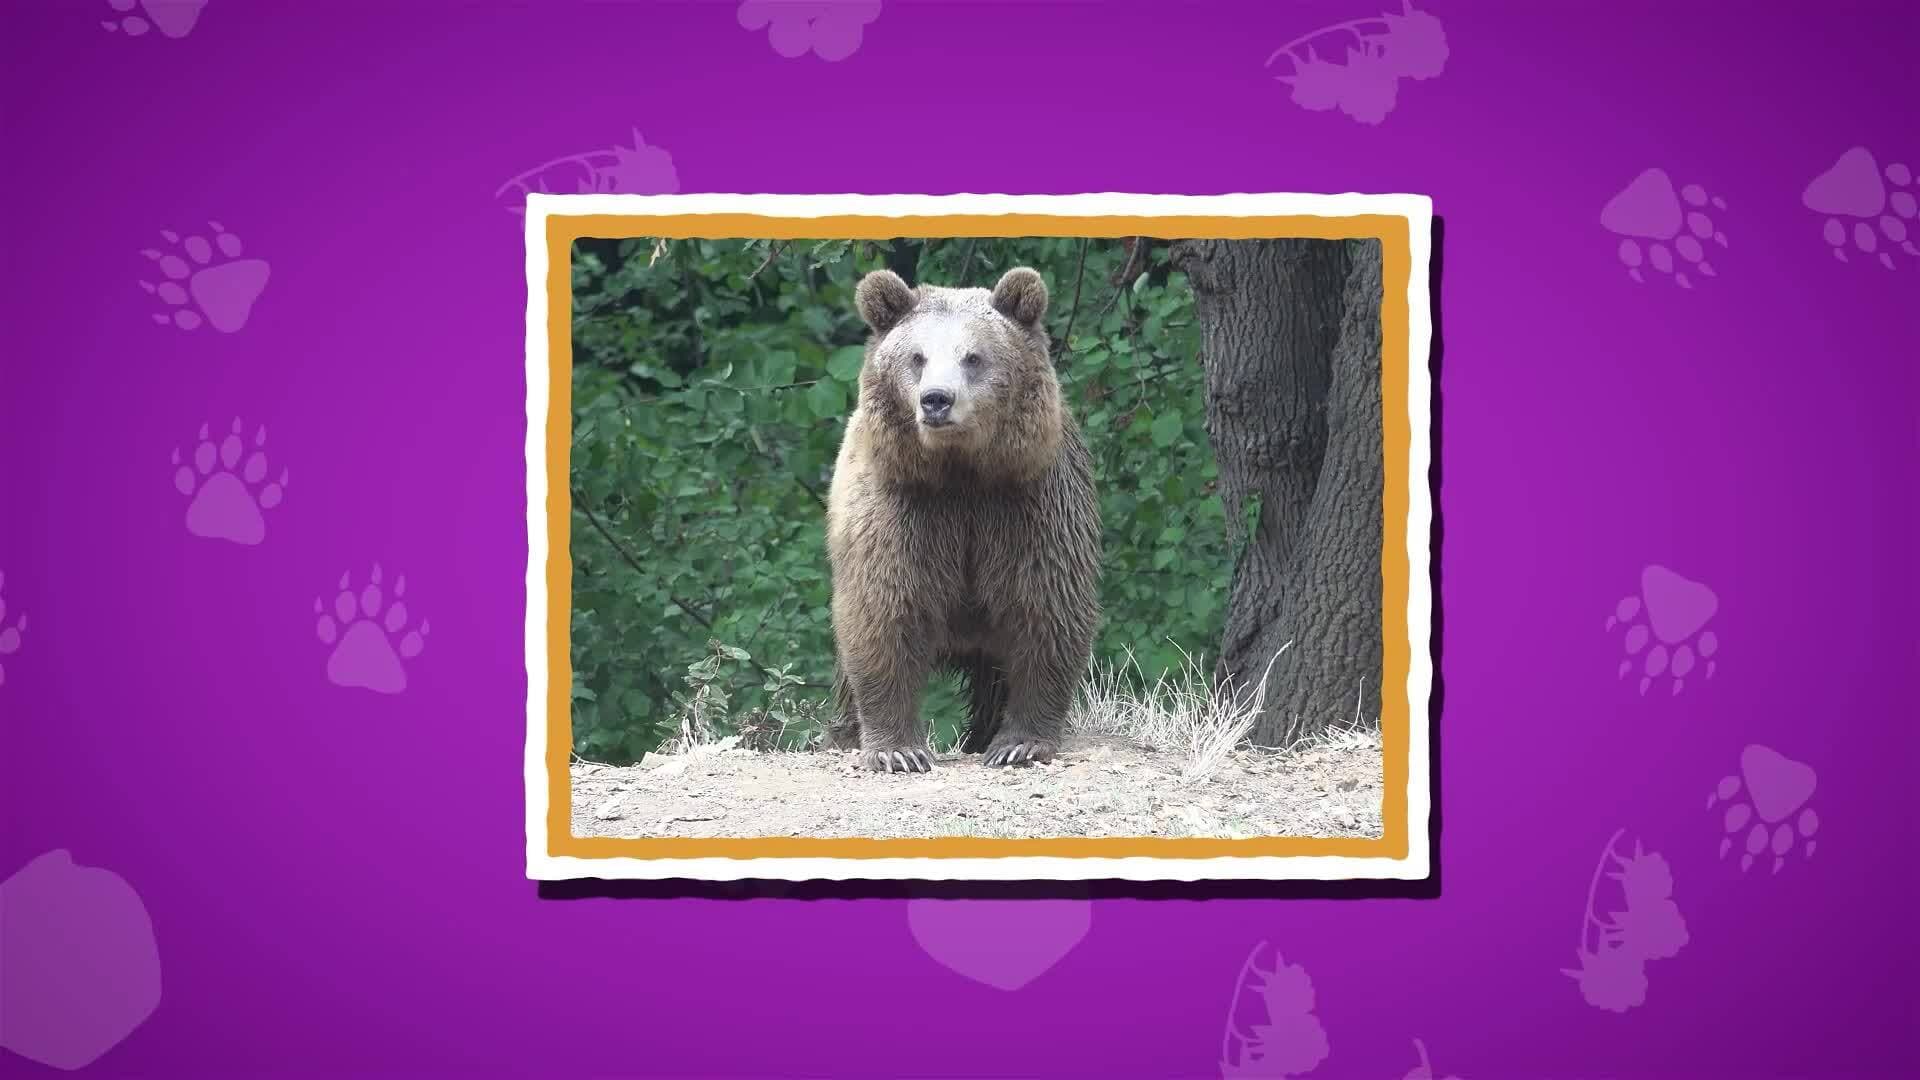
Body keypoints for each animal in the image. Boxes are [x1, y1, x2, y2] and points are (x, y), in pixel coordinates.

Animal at [823, 264, 1103, 773]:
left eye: (973, 357)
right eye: (917, 356)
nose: (937, 399)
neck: (962, 476)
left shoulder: (1028, 505)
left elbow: (1045, 606)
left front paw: (1019, 743)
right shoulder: (903, 509)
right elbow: (883, 613)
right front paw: (898, 750)